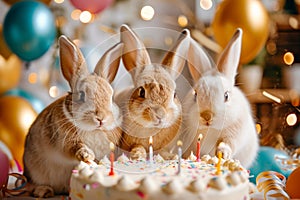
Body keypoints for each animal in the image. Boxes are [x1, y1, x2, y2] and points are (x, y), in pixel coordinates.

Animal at [22, 35, 123, 197]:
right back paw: (44, 191)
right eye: (81, 95)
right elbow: (77, 148)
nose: (101, 118)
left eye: (111, 97)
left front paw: (96, 163)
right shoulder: (67, 141)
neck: (93, 129)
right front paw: (87, 156)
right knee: (31, 185)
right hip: (33, 170)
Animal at [115, 24, 190, 159]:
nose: (160, 115)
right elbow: (137, 147)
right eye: (141, 92)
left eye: (174, 94)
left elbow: (163, 152)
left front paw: (174, 157)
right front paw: (137, 154)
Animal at [182, 28, 258, 169]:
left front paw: (222, 153)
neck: (211, 129)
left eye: (226, 96)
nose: (207, 116)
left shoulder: (235, 132)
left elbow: (227, 143)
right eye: (195, 94)